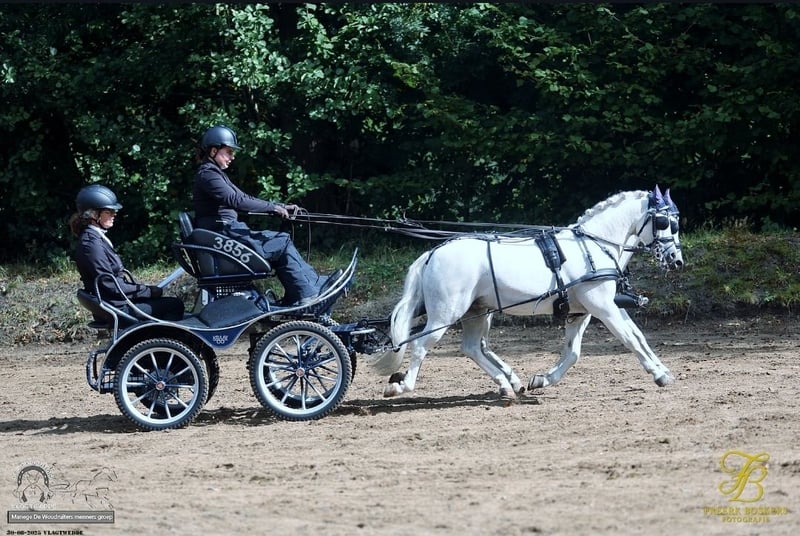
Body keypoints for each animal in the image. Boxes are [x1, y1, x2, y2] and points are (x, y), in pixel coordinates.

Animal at [368, 185, 683, 402]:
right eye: (665, 223)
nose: (676, 260)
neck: (593, 247)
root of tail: (432, 253)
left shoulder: (584, 311)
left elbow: (579, 351)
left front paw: (542, 380)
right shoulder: (602, 306)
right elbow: (629, 338)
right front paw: (658, 374)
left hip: (476, 312)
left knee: (471, 347)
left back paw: (507, 384)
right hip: (446, 313)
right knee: (422, 344)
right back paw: (402, 385)